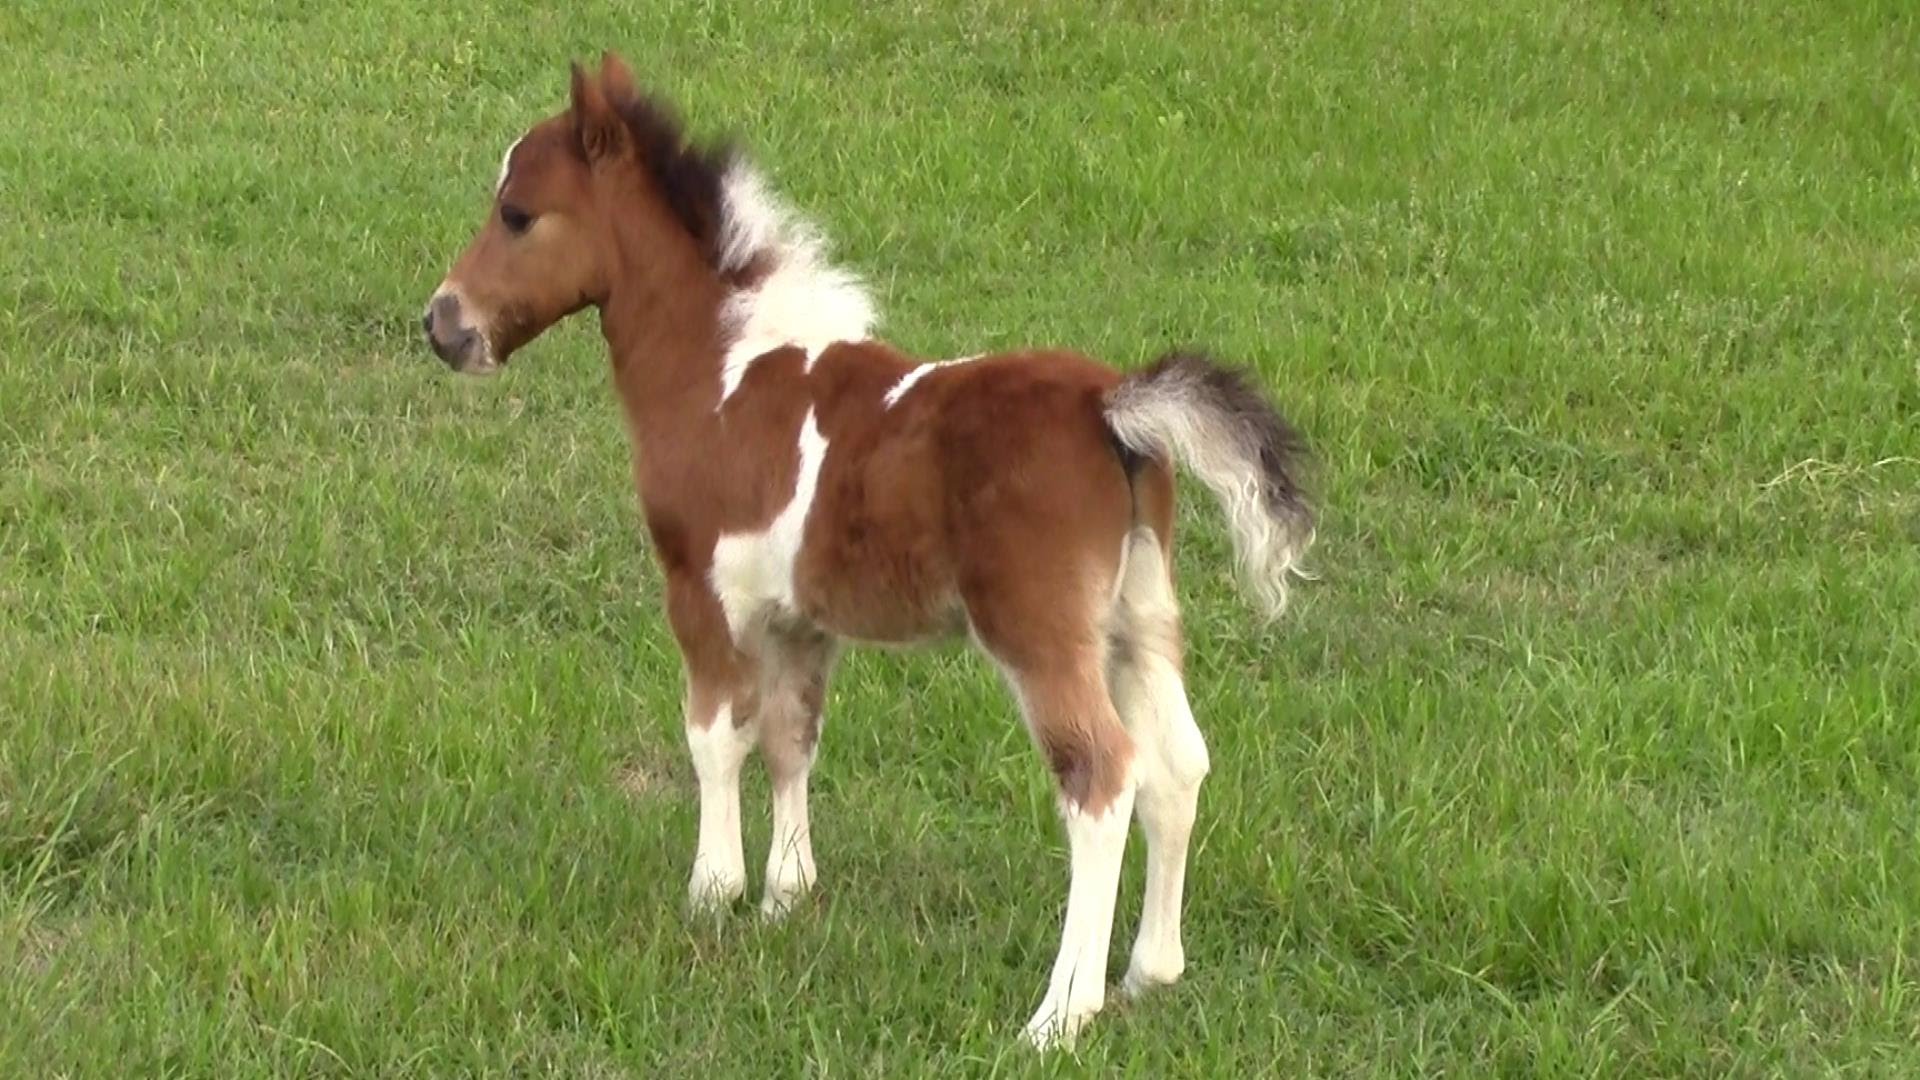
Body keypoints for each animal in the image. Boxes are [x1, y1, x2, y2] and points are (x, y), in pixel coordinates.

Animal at [420, 52, 1317, 1049]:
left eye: (517, 213)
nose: (443, 325)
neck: (721, 375)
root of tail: (1114, 410)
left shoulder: (698, 590)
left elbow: (714, 735)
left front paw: (713, 892)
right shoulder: (800, 617)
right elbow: (791, 738)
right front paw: (785, 896)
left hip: (1040, 633)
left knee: (1101, 775)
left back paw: (1059, 1013)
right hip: (1140, 617)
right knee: (1178, 763)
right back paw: (1149, 973)